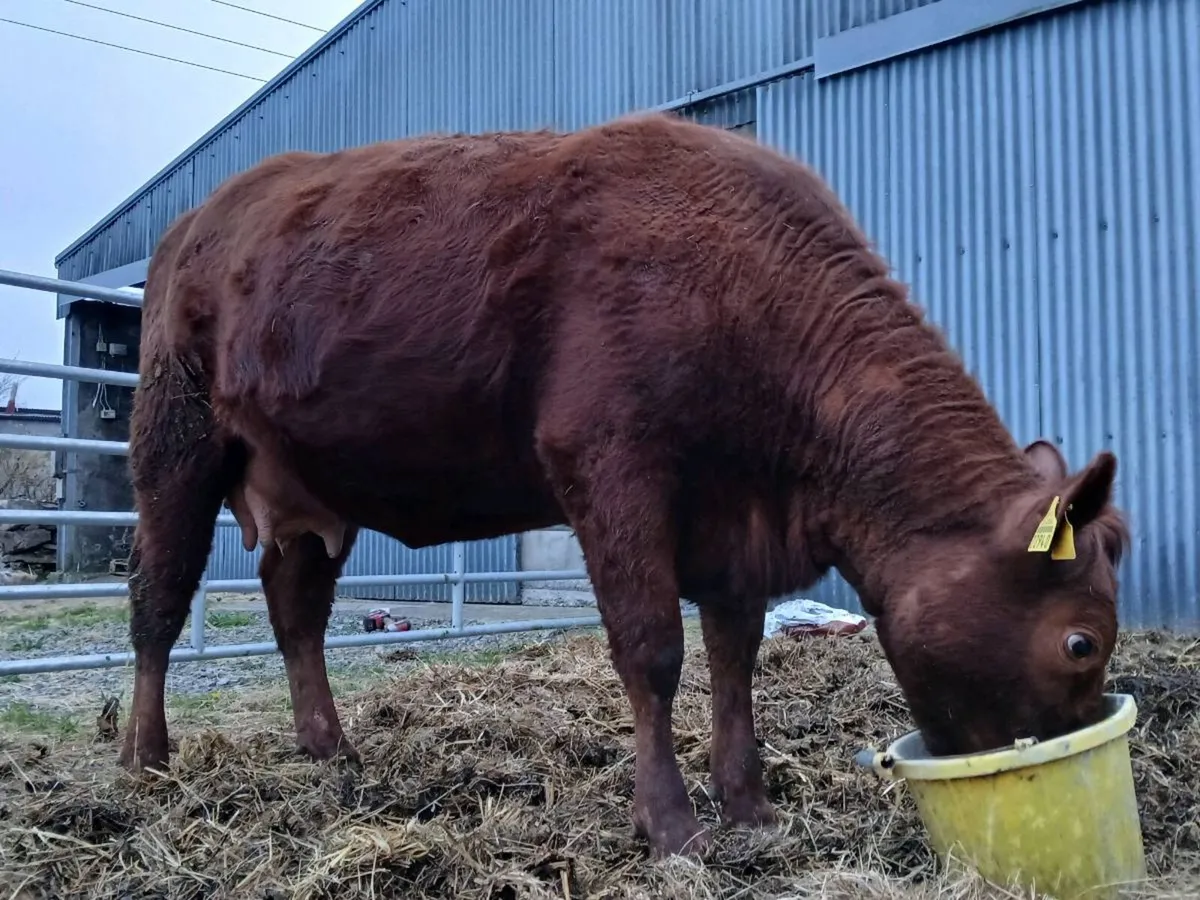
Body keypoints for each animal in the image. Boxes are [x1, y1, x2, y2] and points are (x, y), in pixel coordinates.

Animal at [120, 112, 1129, 859]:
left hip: (312, 483)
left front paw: (748, 805)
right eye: (1081, 643)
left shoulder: (732, 515)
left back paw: (331, 753)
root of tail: (202, 218)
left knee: (296, 610)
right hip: (176, 440)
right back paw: (146, 759)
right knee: (158, 601)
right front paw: (672, 824)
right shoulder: (612, 463)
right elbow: (653, 651)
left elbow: (734, 654)